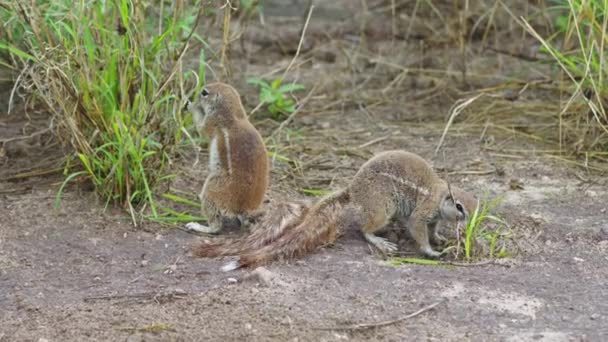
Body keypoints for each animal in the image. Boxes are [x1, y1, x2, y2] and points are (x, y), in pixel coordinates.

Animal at [184, 81, 268, 234]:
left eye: (204, 93)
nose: (197, 93)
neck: (233, 113)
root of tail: (242, 209)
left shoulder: (212, 121)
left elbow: (201, 129)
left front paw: (191, 105)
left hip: (213, 188)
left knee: (216, 226)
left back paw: (199, 226)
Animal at [192, 150, 478, 270]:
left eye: (476, 206)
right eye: (460, 207)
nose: (469, 225)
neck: (440, 197)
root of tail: (353, 189)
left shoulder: (434, 216)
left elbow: (433, 227)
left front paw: (439, 238)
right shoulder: (422, 213)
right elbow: (418, 229)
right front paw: (431, 251)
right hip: (382, 207)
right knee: (365, 229)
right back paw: (380, 240)